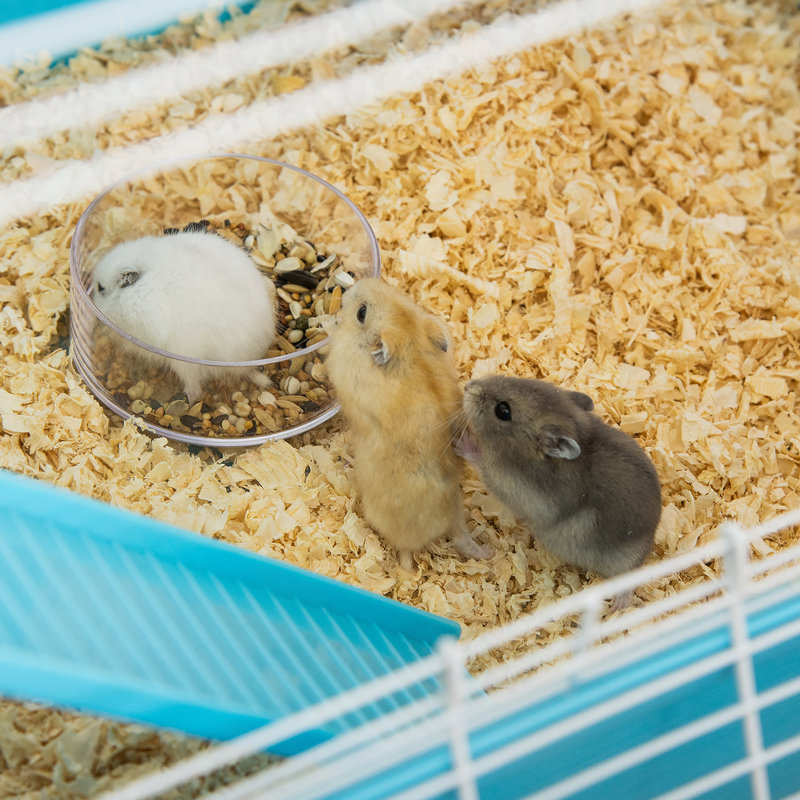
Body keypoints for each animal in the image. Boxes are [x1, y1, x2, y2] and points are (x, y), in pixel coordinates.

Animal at [460, 376, 661, 578]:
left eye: (503, 411)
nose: (468, 386)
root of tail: (645, 553)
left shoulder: (507, 485)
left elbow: (481, 463)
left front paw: (463, 441)